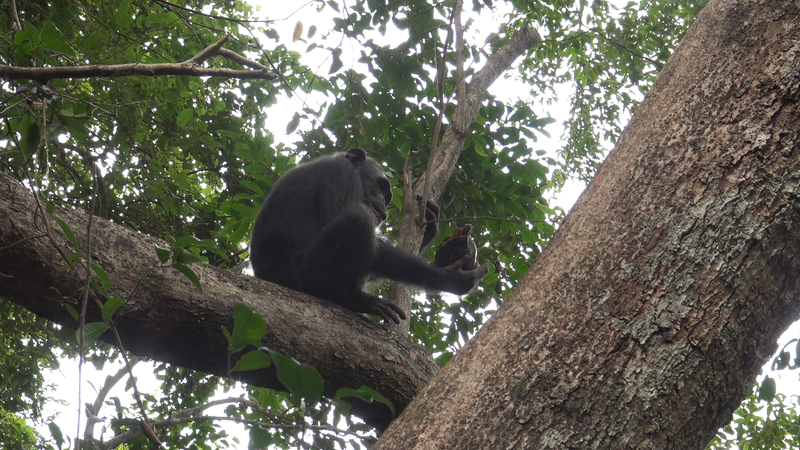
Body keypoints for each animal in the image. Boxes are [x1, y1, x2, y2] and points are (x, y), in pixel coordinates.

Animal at [252, 148, 488, 324]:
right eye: (381, 185)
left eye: (387, 195)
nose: (383, 202)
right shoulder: (340, 174)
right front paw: (451, 276)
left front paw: (431, 226)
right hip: (303, 278)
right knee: (358, 218)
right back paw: (351, 299)